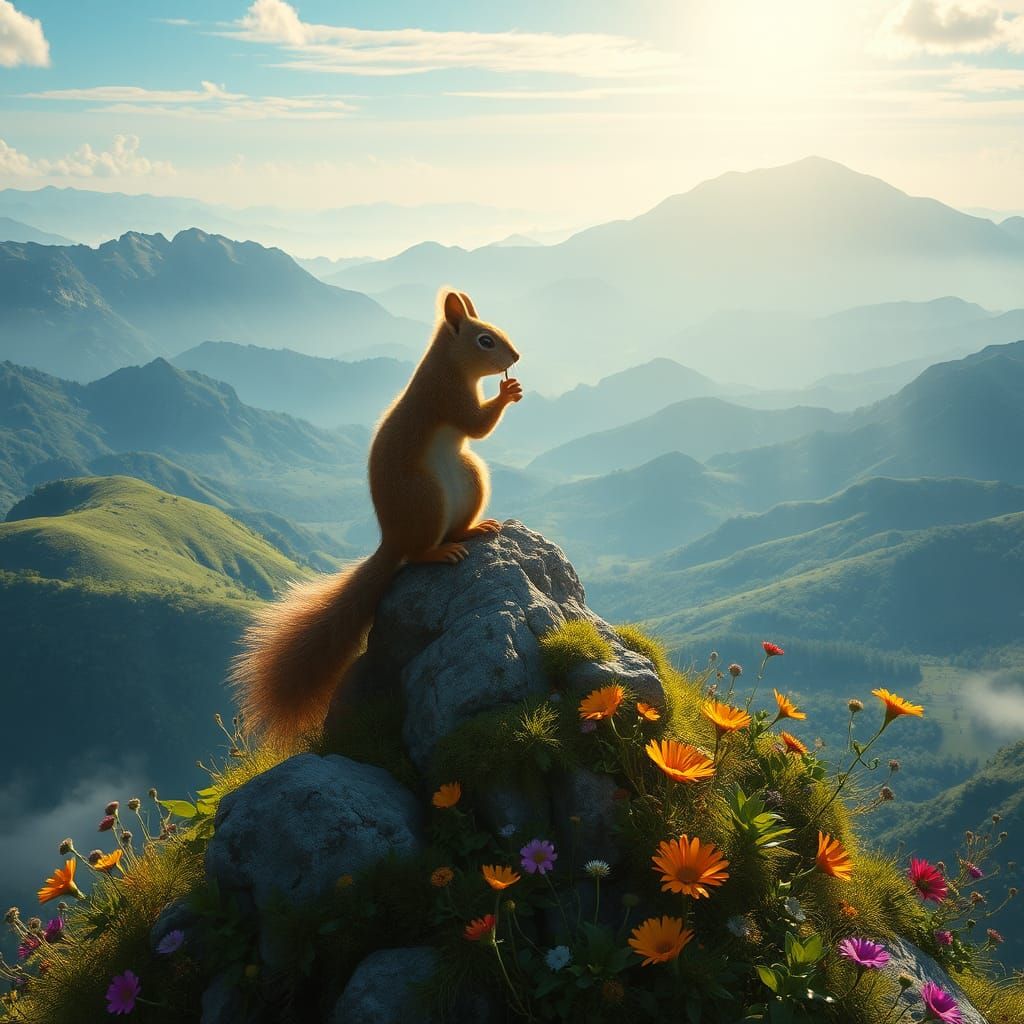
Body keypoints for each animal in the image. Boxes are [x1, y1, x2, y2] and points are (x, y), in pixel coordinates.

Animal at [231, 289, 522, 739]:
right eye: (485, 340)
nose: (517, 356)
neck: (448, 365)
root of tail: (392, 538)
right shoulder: (446, 397)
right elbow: (476, 425)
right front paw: (508, 393)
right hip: (425, 497)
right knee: (419, 552)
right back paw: (439, 552)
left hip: (470, 476)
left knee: (454, 528)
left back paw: (473, 531)